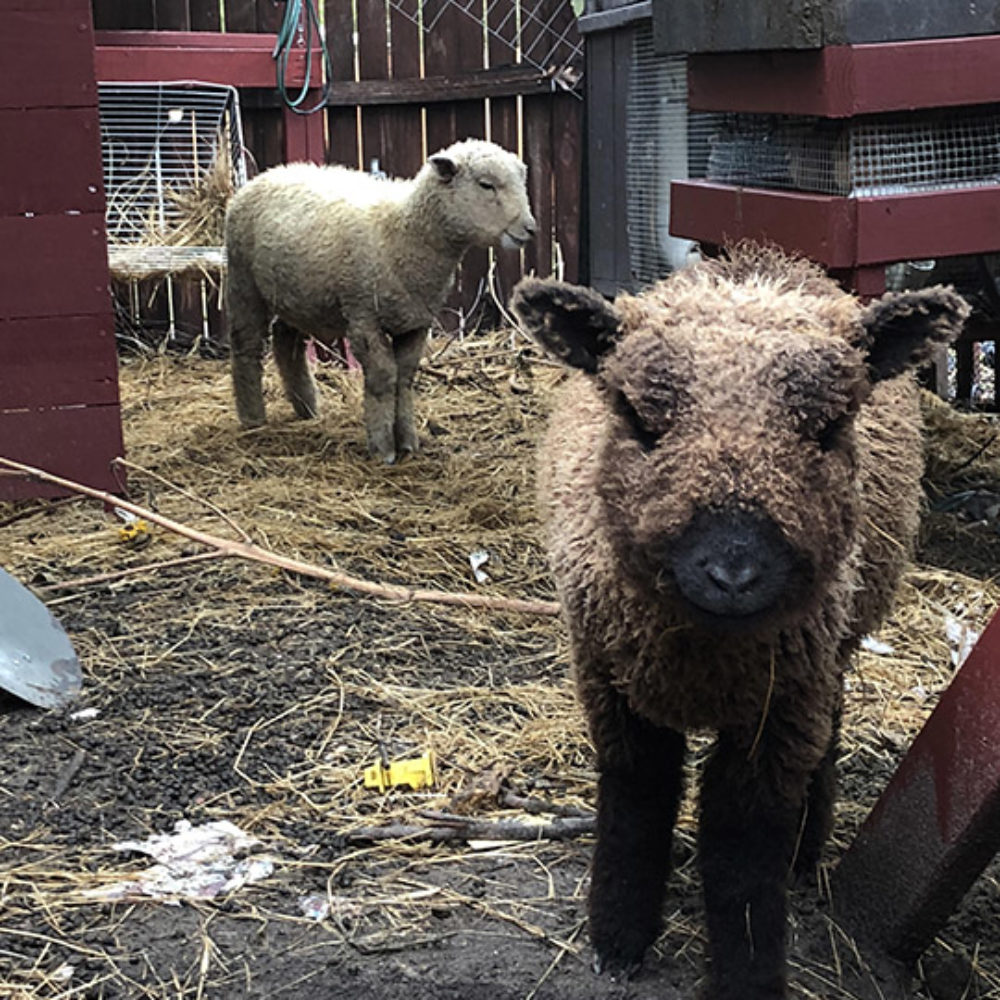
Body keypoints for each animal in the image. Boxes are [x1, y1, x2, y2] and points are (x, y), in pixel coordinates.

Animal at [223, 139, 536, 462]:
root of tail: (269, 173)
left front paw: (408, 441)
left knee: (287, 341)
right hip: (244, 282)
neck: (403, 231)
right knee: (245, 345)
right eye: (486, 185)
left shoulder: (416, 322)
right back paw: (252, 418)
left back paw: (307, 407)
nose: (530, 228)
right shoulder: (363, 317)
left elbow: (405, 377)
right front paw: (383, 447)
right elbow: (384, 378)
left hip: (298, 296)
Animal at [512, 244, 964, 1000]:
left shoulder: (778, 710)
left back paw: (806, 851)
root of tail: (763, 260)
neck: (703, 658)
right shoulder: (611, 681)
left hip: (825, 655)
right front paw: (619, 940)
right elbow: (637, 798)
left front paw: (748, 972)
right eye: (637, 418)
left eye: (829, 427)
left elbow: (744, 848)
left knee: (827, 733)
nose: (732, 574)